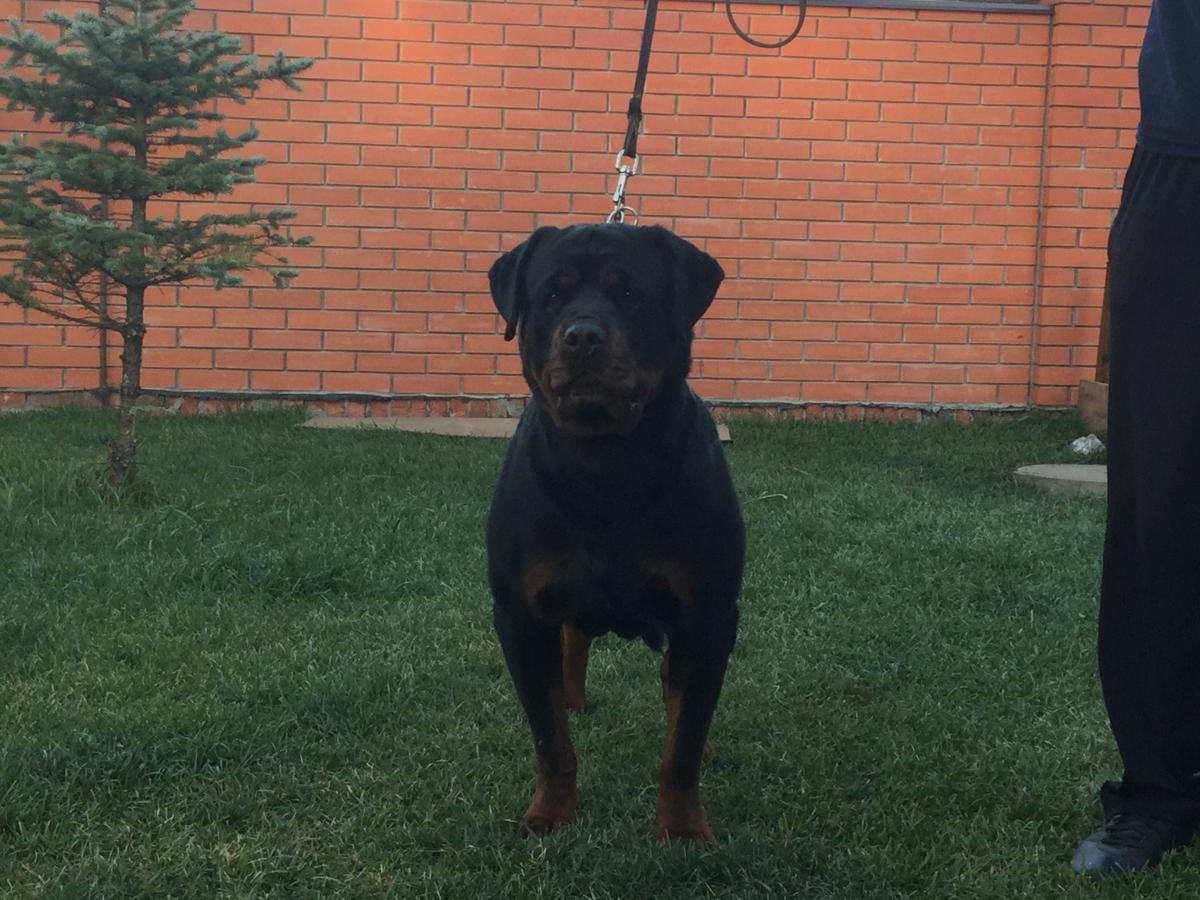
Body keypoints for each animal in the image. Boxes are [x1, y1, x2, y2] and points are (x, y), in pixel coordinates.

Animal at [485, 223, 745, 844]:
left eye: (630, 294)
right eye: (551, 295)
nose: (582, 336)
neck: (606, 468)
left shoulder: (708, 616)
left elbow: (682, 742)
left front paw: (682, 829)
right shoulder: (519, 615)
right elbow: (549, 738)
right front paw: (551, 814)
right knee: (573, 643)